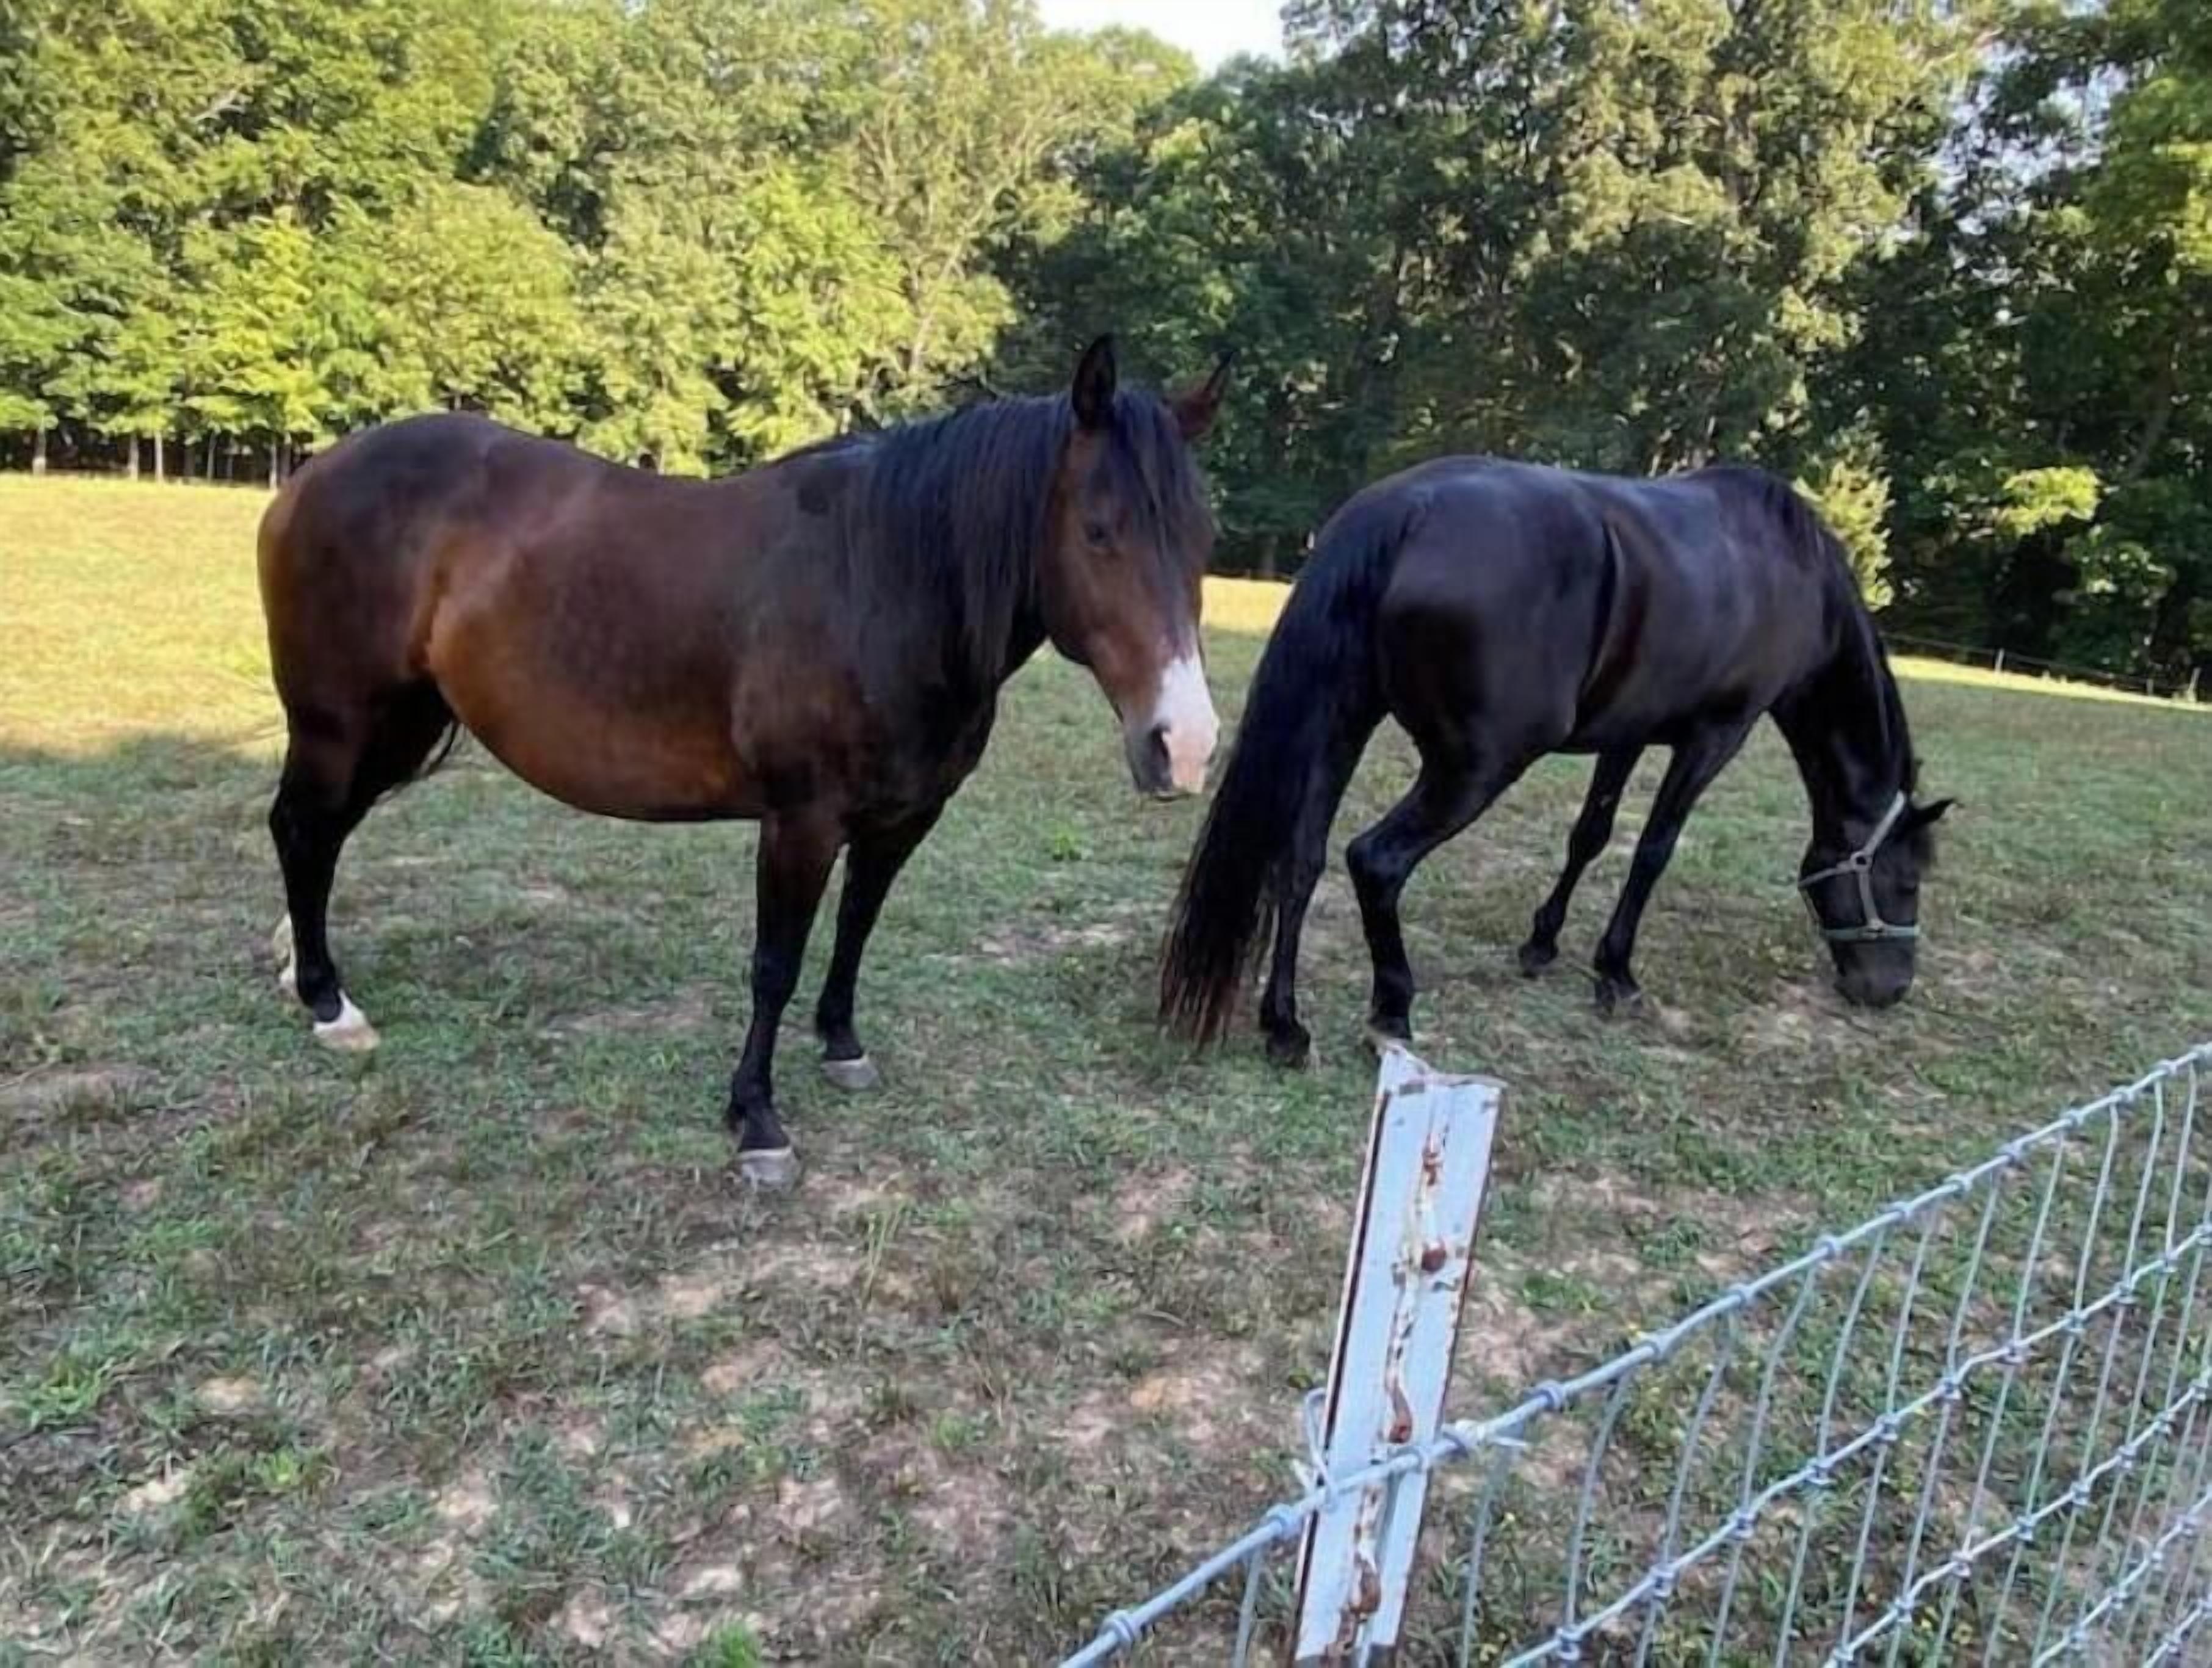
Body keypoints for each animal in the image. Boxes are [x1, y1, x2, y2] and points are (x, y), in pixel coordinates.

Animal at [260, 336, 1231, 1183]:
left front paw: (842, 1045)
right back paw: (328, 1004)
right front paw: (757, 1119)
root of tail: (308, 478)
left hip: (397, 724)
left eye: (1203, 541)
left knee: (323, 833)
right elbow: (775, 963)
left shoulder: (903, 816)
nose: (1182, 746)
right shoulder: (800, 822)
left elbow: (856, 928)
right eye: (1100, 531)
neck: (885, 582)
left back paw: (300, 972)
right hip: (339, 724)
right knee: (302, 830)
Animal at [1159, 457, 1952, 1065]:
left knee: (1300, 860)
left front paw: (1542, 943)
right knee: (1375, 859)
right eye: (1906, 880)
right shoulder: (1712, 736)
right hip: (1476, 767)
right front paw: (1616, 972)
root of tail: (1400, 512)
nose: (1890, 988)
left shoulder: (1629, 733)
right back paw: (1392, 1006)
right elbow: (1653, 850)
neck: (1785, 570)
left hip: (1342, 724)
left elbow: (1591, 835)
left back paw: (1285, 1025)